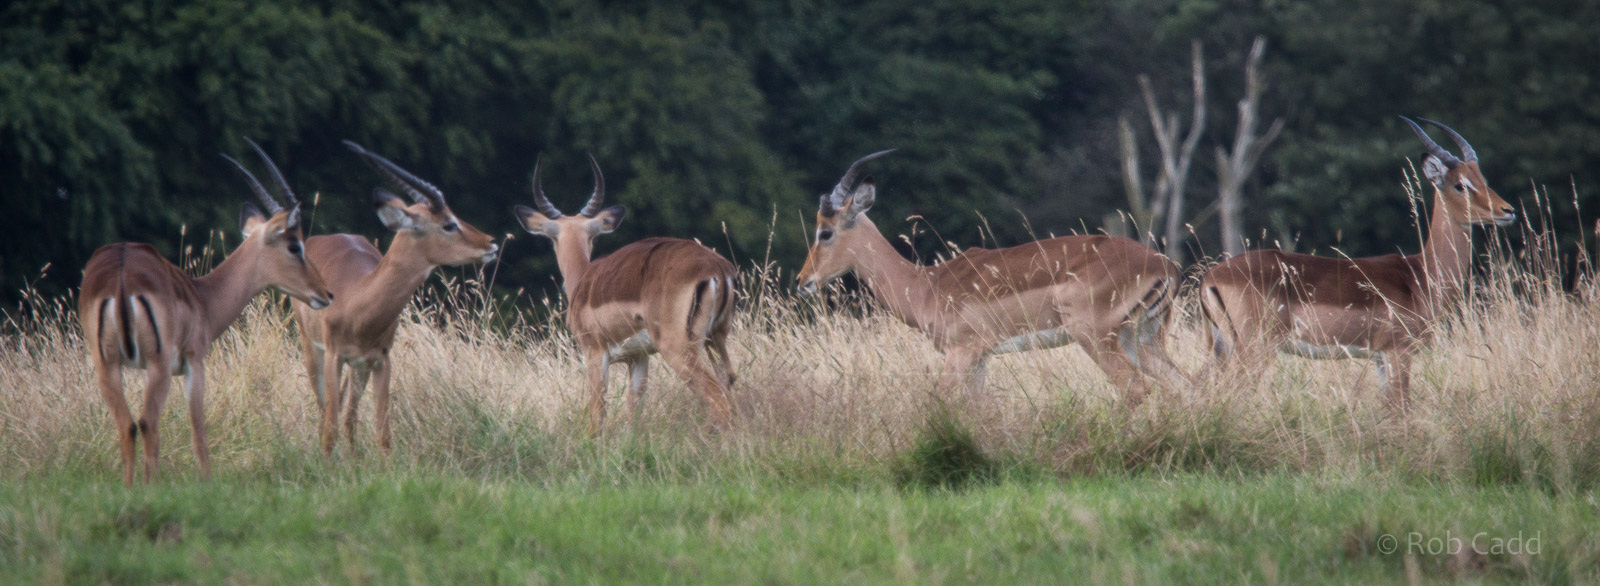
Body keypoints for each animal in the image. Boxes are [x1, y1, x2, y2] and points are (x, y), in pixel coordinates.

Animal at [79, 139, 333, 486]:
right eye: (295, 246)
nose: (326, 294)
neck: (203, 298)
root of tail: (120, 274)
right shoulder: (194, 362)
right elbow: (199, 432)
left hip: (107, 364)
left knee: (127, 425)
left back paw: (130, 489)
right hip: (158, 364)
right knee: (147, 423)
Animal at [291, 141, 498, 456]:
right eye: (448, 224)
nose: (491, 243)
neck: (357, 301)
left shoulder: (381, 361)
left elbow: (383, 434)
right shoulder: (335, 357)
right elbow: (330, 429)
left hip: (359, 366)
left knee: (349, 415)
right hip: (313, 350)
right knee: (327, 412)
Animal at [513, 156, 738, 435]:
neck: (584, 278)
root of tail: (716, 266)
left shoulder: (594, 353)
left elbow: (598, 412)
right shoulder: (638, 357)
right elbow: (634, 410)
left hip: (679, 348)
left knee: (717, 398)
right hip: (716, 339)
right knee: (729, 385)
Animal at [795, 151, 1191, 406]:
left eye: (825, 232)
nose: (803, 280)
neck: (926, 285)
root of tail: (1165, 267)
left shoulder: (962, 352)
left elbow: (940, 401)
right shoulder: (981, 359)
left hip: (1096, 337)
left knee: (1136, 389)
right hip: (1142, 339)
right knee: (1186, 386)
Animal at [1199, 117, 1516, 413]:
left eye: (1482, 179)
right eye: (1461, 185)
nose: (1508, 211)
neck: (1422, 275)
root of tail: (1212, 277)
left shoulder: (1379, 359)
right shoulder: (1398, 352)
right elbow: (1401, 411)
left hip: (1223, 346)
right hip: (1254, 349)